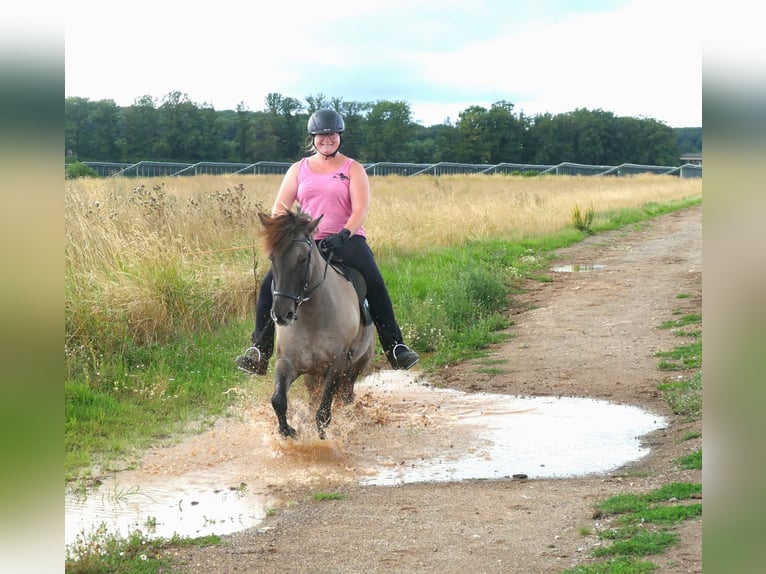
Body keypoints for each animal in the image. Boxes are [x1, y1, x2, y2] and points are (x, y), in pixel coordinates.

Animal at [260, 209, 376, 438]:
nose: (282, 315)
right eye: (272, 258)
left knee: (346, 395)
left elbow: (323, 413)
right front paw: (288, 432)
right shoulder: (286, 362)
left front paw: (322, 439)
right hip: (312, 375)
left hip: (359, 363)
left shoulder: (337, 365)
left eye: (303, 258)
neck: (311, 319)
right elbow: (278, 400)